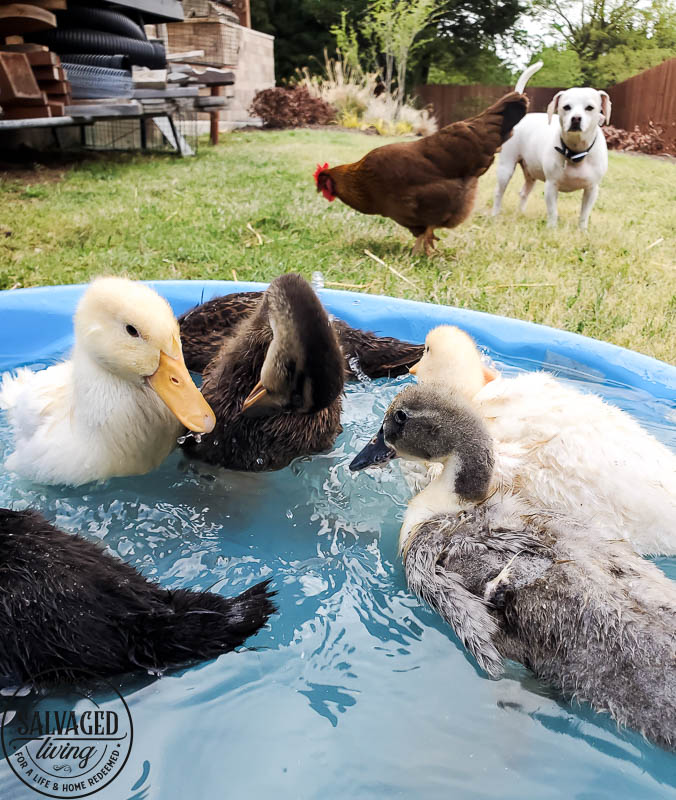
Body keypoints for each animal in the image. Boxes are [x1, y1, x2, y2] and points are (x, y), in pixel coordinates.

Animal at [492, 86, 612, 230]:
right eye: (566, 107)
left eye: (590, 108)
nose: (576, 118)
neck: (575, 152)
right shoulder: (551, 185)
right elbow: (553, 211)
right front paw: (552, 229)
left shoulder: (591, 189)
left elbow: (584, 214)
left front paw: (582, 230)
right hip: (506, 169)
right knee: (499, 192)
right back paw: (494, 214)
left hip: (530, 174)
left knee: (524, 193)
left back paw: (520, 213)